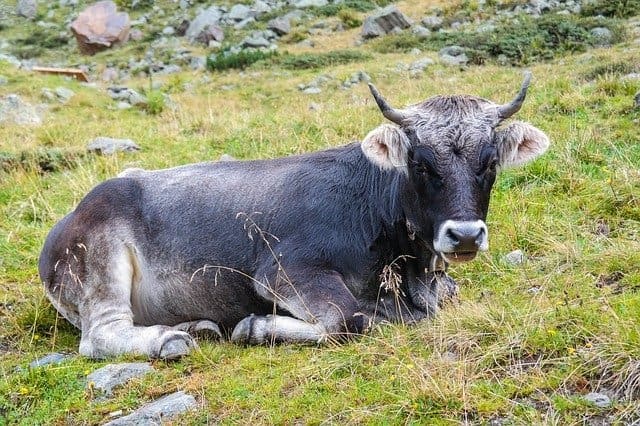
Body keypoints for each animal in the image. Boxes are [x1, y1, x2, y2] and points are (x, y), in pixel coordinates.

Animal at [38, 74, 552, 360]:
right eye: (421, 164)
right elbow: (350, 318)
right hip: (100, 261)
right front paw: (256, 328)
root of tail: (67, 220)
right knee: (100, 335)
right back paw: (170, 339)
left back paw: (196, 326)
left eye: (490, 161)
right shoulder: (284, 271)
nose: (464, 235)